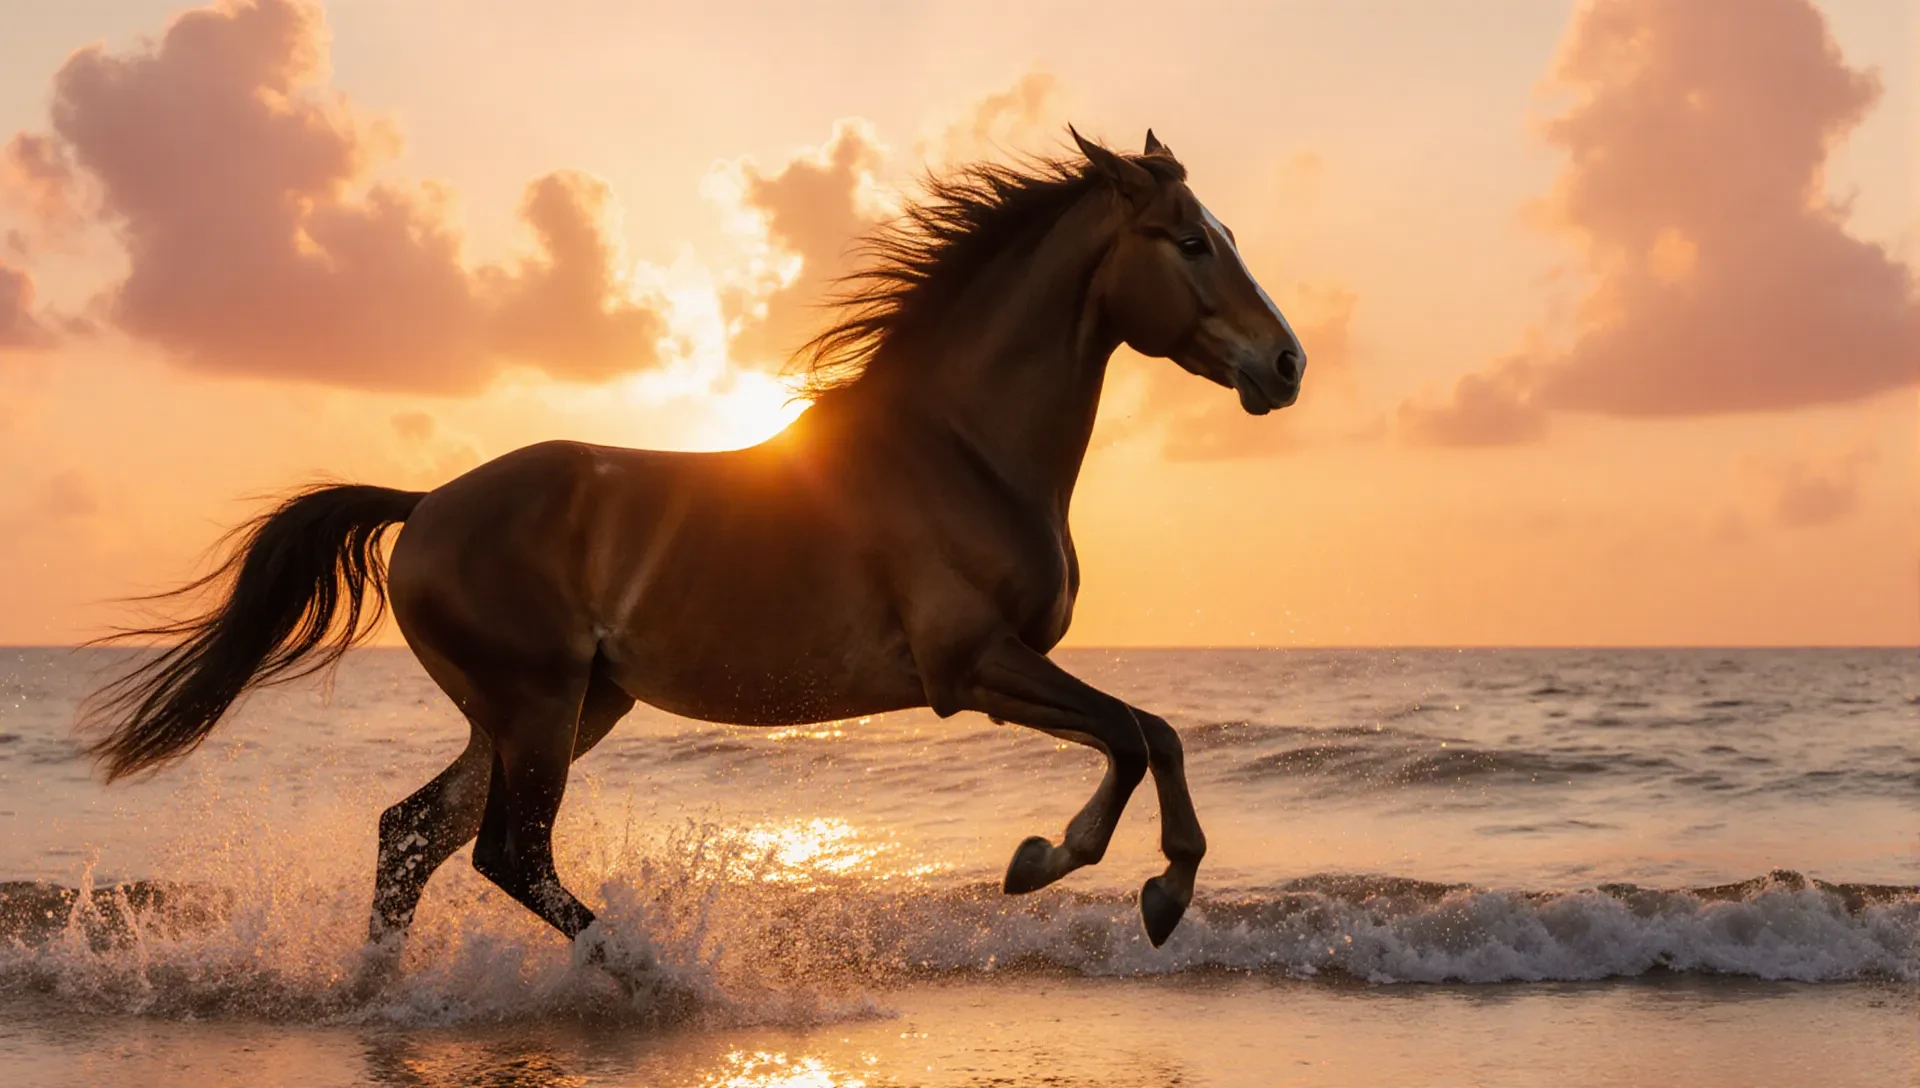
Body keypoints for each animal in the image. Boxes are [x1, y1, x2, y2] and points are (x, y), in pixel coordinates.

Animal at [80, 127, 1306, 962]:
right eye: (1191, 243)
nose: (1287, 364)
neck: (960, 449)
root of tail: (427, 504)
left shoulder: (999, 668)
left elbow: (1152, 733)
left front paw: (1122, 880)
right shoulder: (977, 667)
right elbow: (1137, 734)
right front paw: (1090, 872)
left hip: (562, 707)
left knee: (412, 836)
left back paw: (382, 991)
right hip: (537, 705)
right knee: (502, 852)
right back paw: (633, 967)